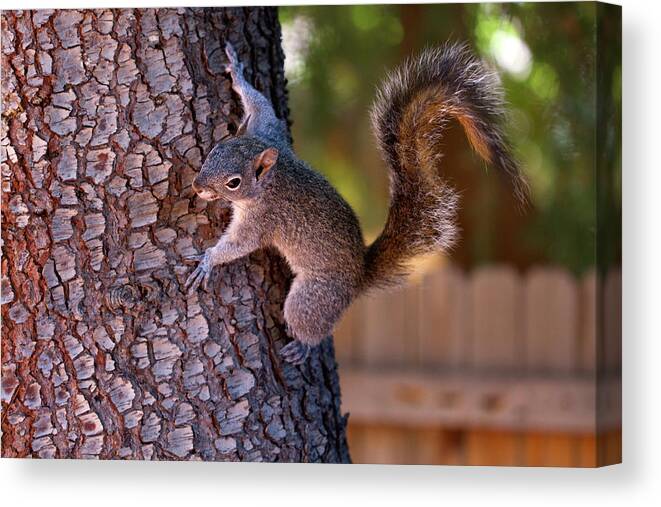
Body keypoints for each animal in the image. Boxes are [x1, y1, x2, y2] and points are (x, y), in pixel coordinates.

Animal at [186, 41, 524, 364]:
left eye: (234, 182)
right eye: (216, 148)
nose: (197, 186)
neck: (270, 179)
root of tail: (358, 278)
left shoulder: (263, 219)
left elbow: (239, 244)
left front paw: (208, 260)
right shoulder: (268, 131)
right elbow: (263, 106)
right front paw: (237, 72)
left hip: (314, 297)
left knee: (308, 321)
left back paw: (302, 347)